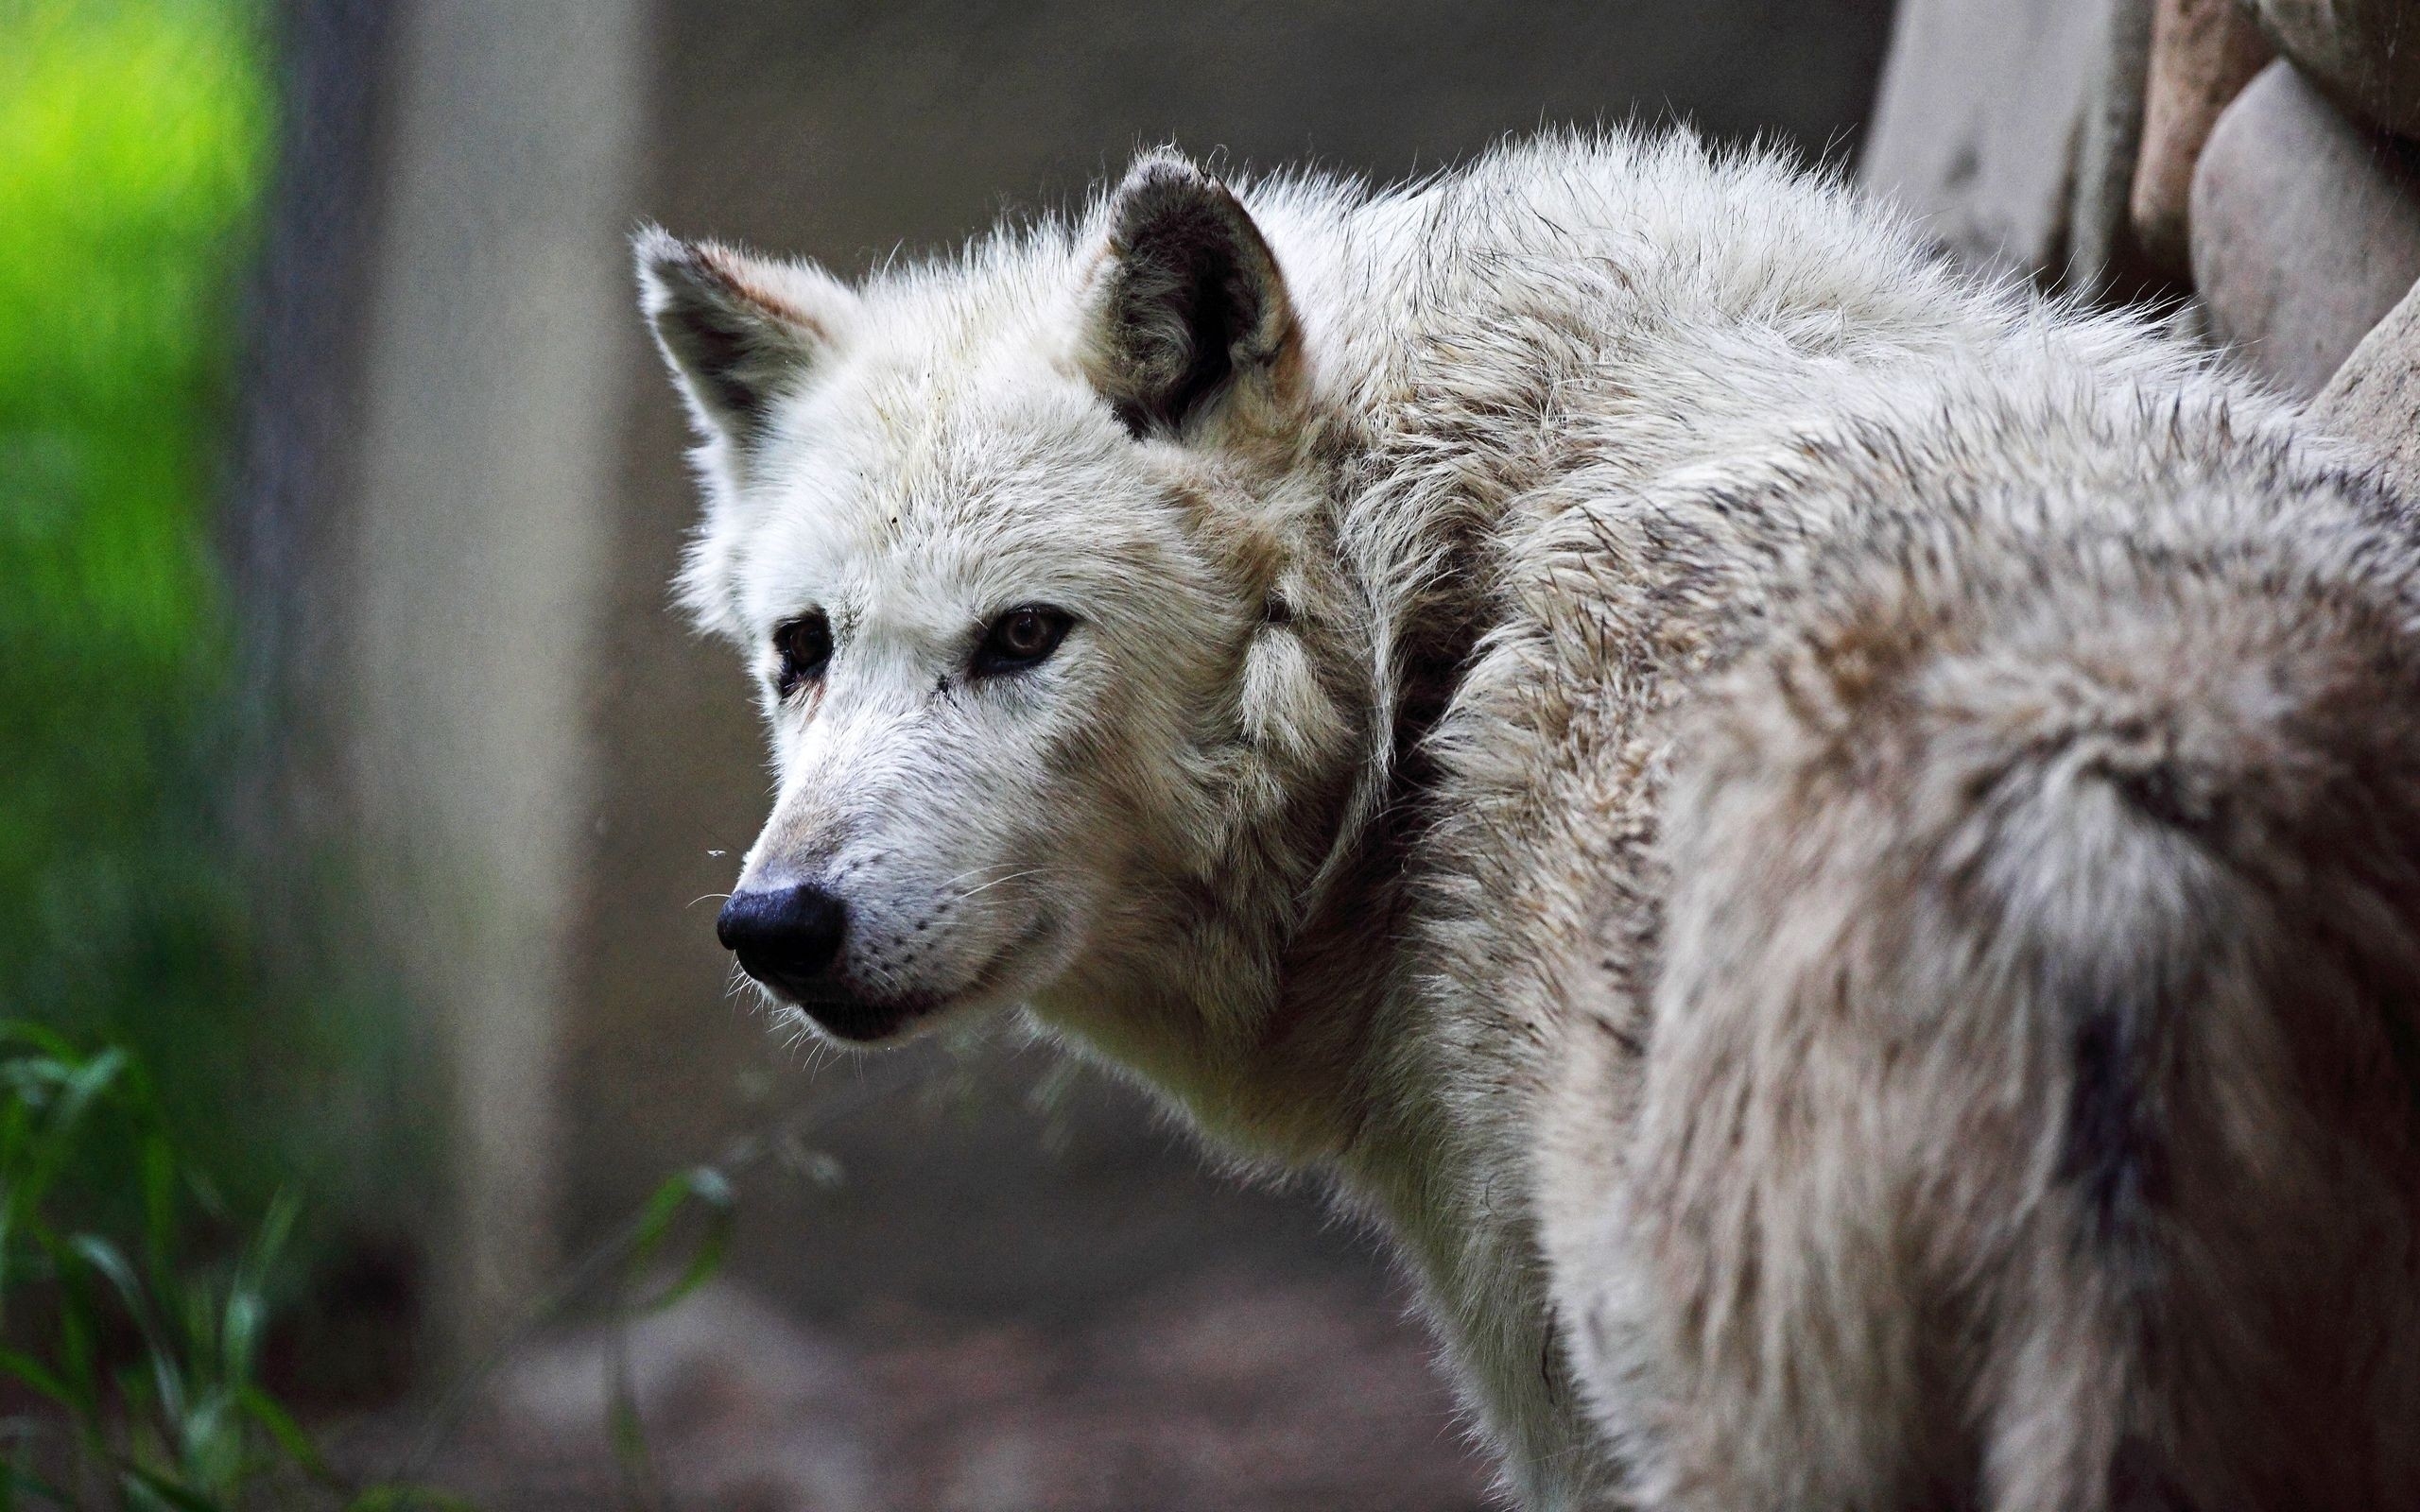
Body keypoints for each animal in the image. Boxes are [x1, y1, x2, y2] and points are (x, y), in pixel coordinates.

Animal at [636, 131, 2420, 1510]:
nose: (775, 927)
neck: (1421, 612)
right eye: (802, 649)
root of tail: (2108, 806)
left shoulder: (1545, 1380)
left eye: (1021, 637)